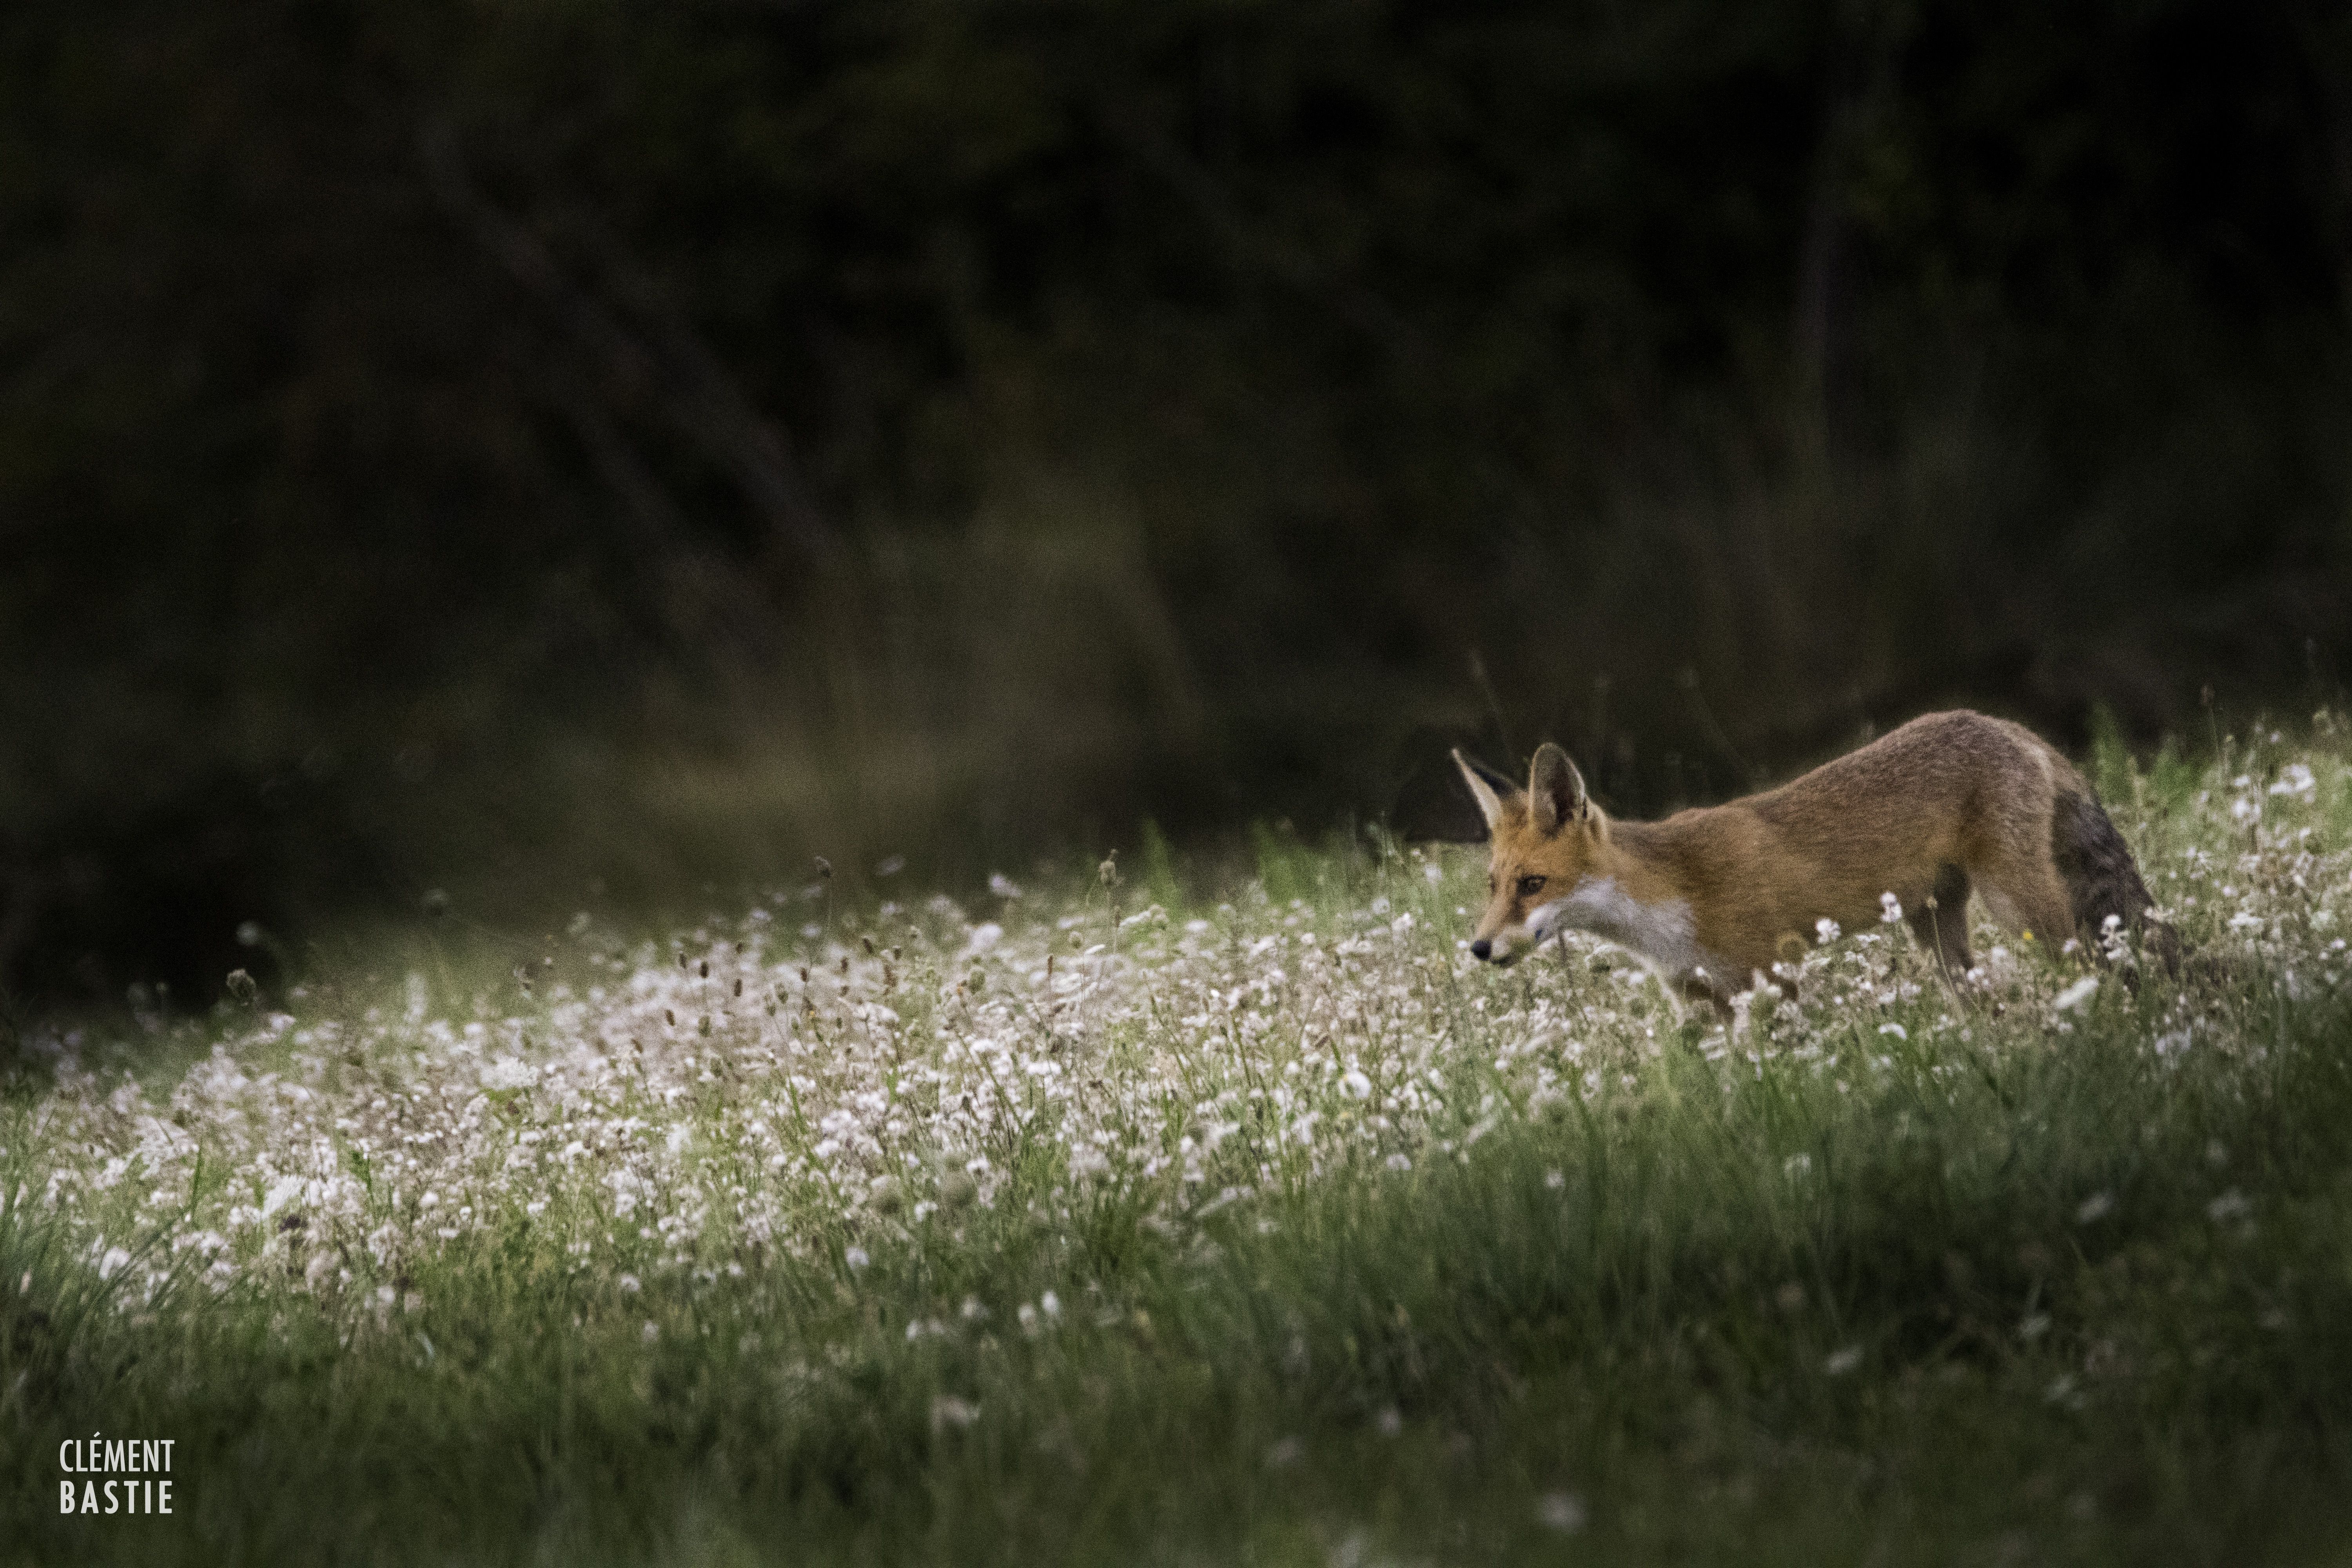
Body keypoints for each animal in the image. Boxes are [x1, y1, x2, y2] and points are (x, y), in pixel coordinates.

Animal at [1453, 710, 2178, 1016]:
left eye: (1533, 885)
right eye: (1493, 886)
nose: (1480, 948)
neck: (1666, 907)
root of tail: (2006, 725)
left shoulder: (1769, 979)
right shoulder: (1698, 1002)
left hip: (2020, 908)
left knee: (2095, 962)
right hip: (1935, 928)